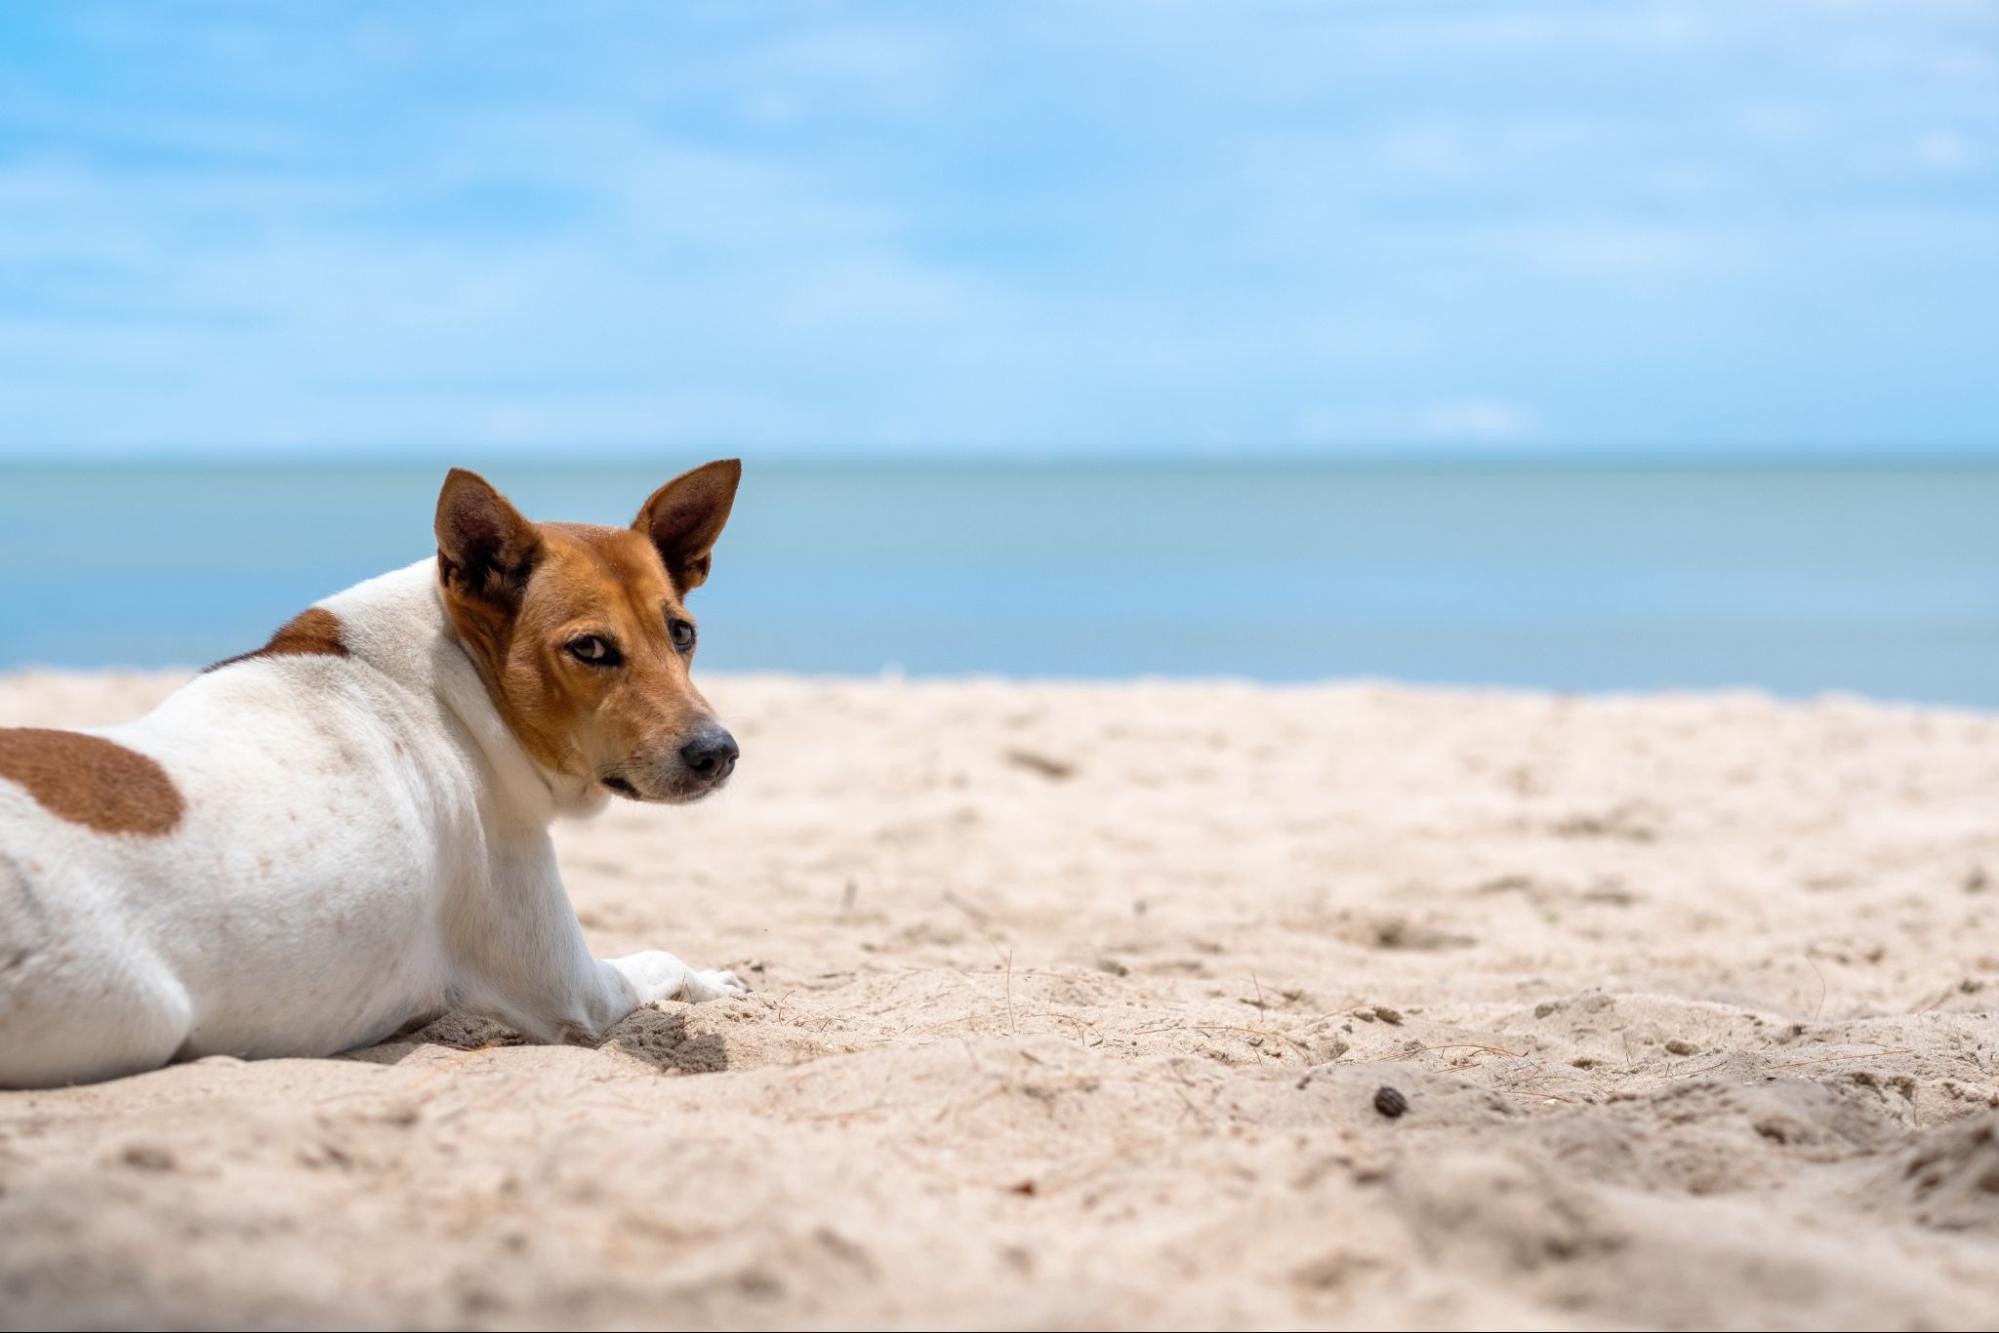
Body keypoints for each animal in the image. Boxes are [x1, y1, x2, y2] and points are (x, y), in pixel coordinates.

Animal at [1, 459, 751, 1087]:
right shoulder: (574, 988)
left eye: (682, 634)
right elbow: (660, 959)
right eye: (590, 648)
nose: (718, 752)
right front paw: (716, 979)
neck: (452, 681)